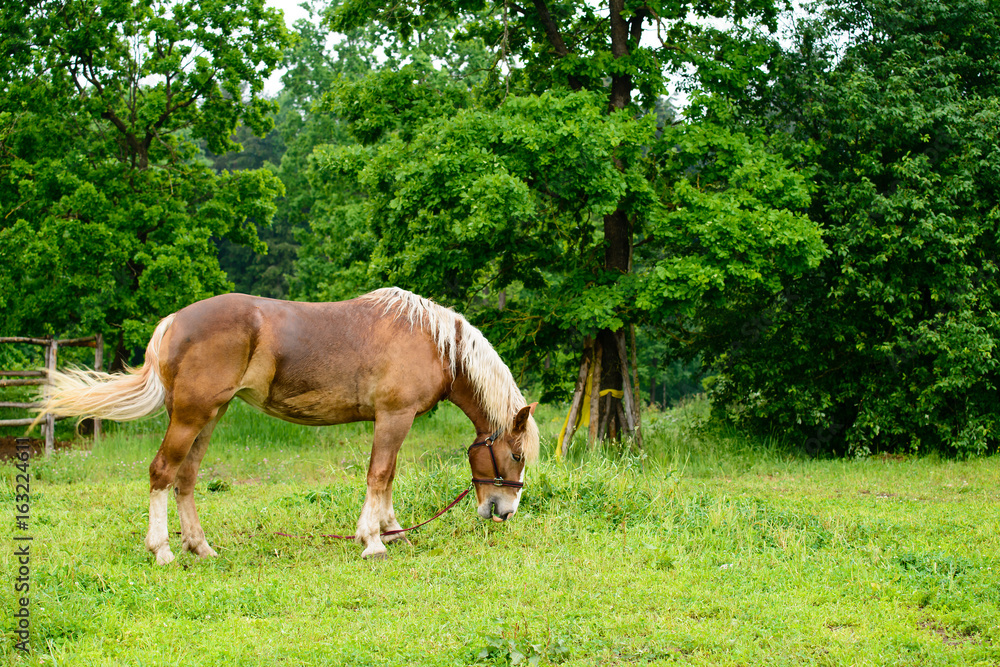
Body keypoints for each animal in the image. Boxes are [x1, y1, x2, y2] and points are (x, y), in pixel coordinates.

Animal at [37, 288, 539, 564]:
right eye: (515, 455)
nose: (504, 511)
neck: (433, 341)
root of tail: (174, 321)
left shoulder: (395, 420)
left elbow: (388, 476)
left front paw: (391, 530)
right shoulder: (393, 417)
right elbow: (379, 475)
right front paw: (374, 540)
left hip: (209, 417)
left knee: (186, 478)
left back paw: (200, 547)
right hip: (191, 416)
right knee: (162, 473)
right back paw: (161, 549)